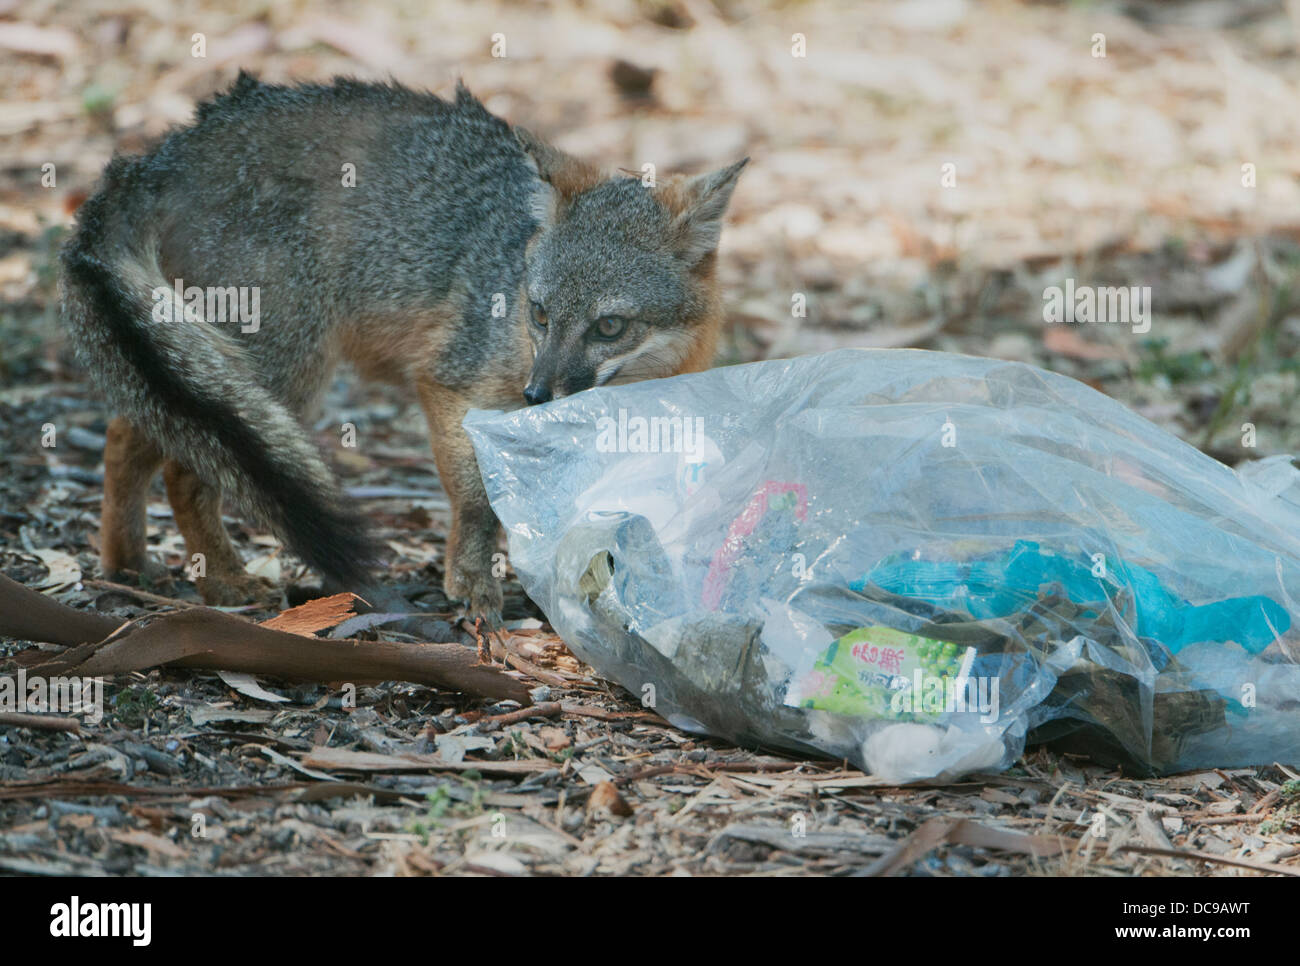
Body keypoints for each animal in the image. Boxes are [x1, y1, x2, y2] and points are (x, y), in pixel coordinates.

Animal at [61, 73, 748, 618]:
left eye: (608, 327)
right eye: (540, 313)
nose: (536, 395)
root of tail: (163, 153)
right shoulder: (450, 384)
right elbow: (477, 502)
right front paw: (472, 586)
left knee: (132, 431)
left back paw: (126, 564)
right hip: (283, 369)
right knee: (184, 465)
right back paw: (224, 583)